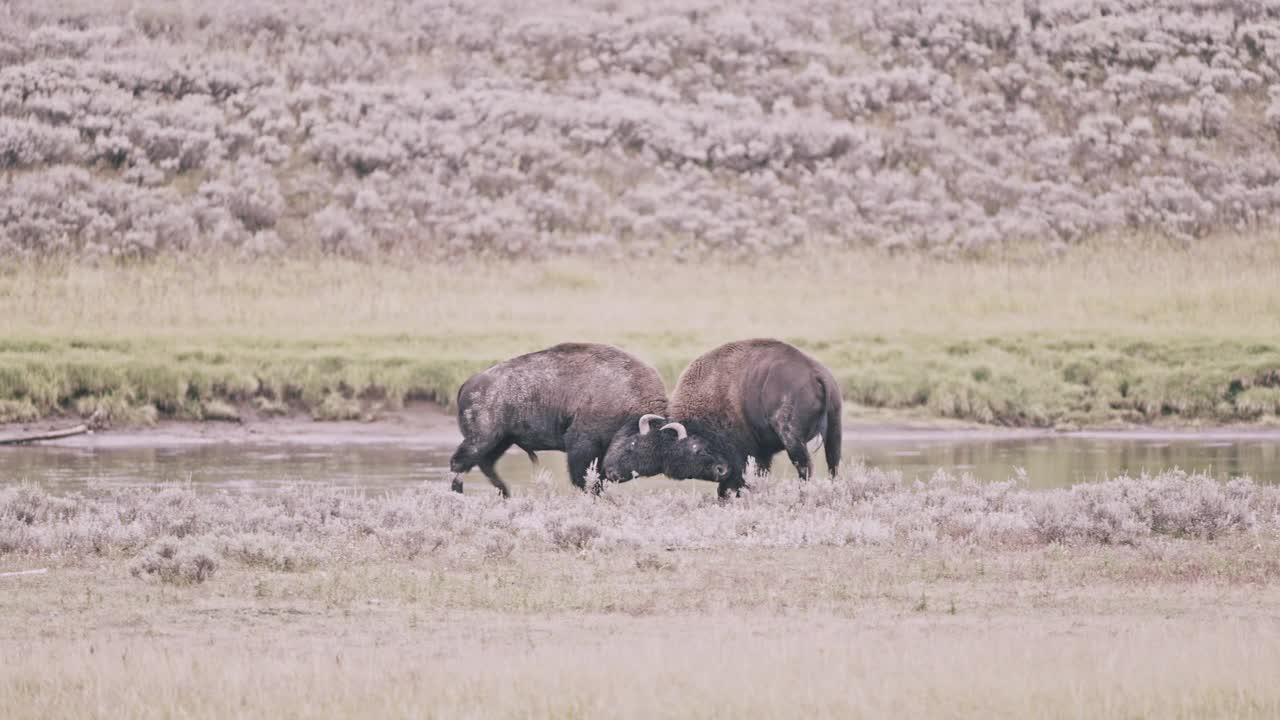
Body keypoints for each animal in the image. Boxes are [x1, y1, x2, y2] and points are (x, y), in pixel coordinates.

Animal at [448, 340, 665, 491]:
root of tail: (468, 383)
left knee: (485, 464)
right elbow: (584, 478)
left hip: (502, 440)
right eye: (635, 446)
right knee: (460, 463)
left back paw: (506, 493)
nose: (614, 474)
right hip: (482, 439)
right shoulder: (582, 445)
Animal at [604, 338, 844, 497]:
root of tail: (815, 373)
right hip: (834, 430)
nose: (720, 470)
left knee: (804, 465)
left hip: (791, 436)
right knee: (833, 463)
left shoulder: (744, 453)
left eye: (694, 447)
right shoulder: (760, 454)